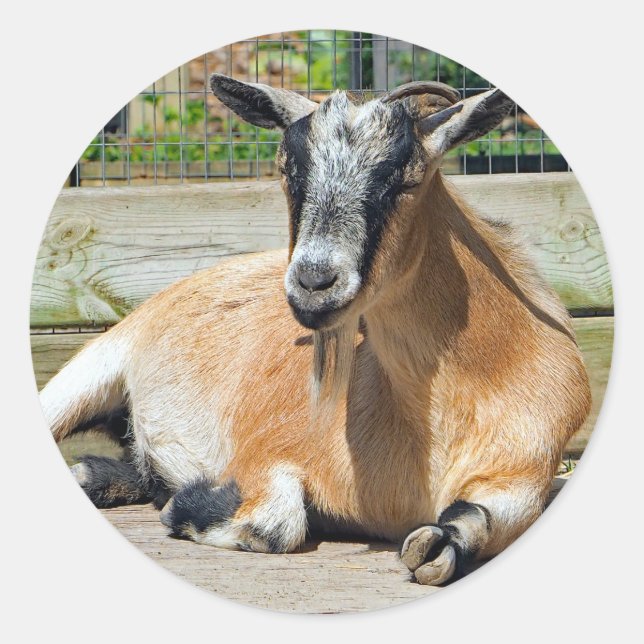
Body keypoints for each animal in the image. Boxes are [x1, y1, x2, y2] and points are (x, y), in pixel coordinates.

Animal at [39, 74, 591, 585]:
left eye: (408, 179)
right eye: (288, 170)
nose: (314, 281)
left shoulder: (525, 467)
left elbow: (474, 520)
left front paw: (438, 546)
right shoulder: (261, 449)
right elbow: (274, 523)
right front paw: (186, 504)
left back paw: (94, 475)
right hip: (92, 369)